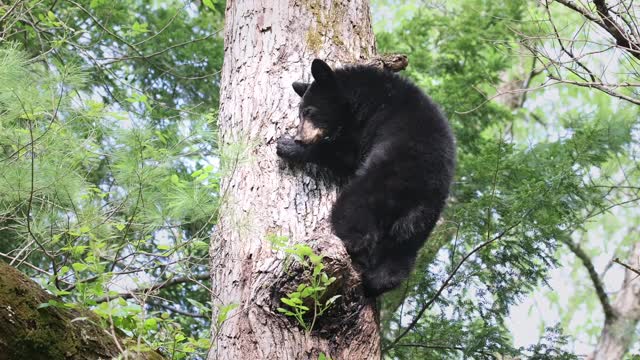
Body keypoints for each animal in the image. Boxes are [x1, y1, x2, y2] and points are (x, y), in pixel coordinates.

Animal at [276, 58, 456, 296]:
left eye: (309, 111)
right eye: (300, 113)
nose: (299, 138)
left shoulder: (369, 123)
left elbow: (344, 155)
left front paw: (288, 146)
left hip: (380, 183)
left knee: (355, 215)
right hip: (424, 219)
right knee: (400, 254)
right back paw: (378, 281)